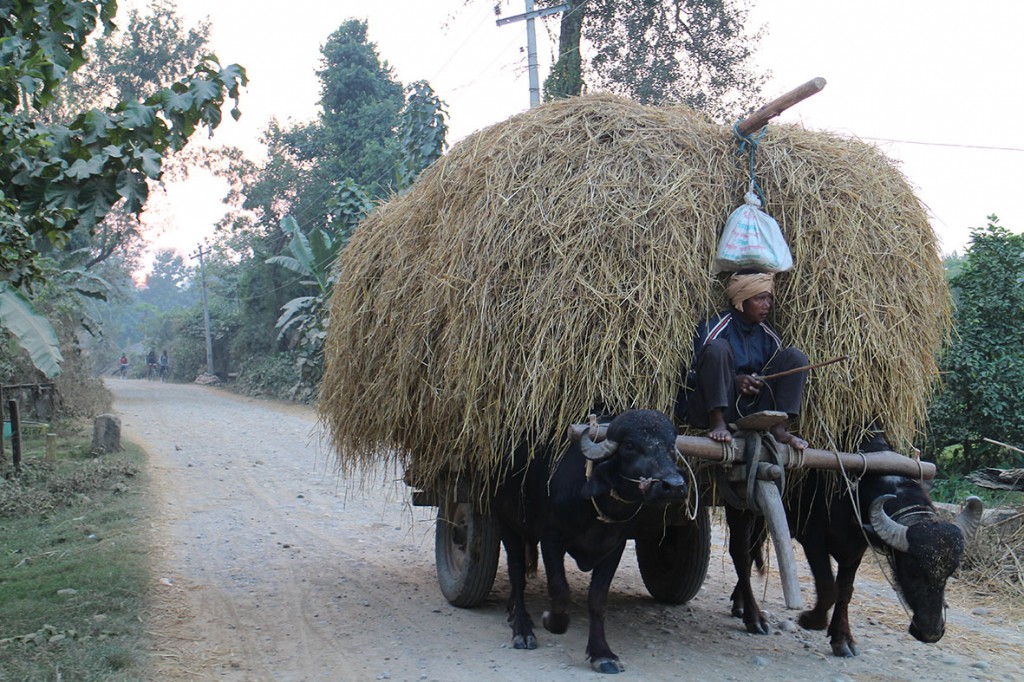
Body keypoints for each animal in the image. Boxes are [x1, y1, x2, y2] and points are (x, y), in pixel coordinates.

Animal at [489, 409, 688, 667]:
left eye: (671, 446)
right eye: (630, 445)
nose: (674, 486)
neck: (596, 509)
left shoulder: (614, 546)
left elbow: (597, 599)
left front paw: (601, 653)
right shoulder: (550, 537)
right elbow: (560, 590)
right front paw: (552, 622)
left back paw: (513, 611)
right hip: (505, 521)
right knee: (516, 573)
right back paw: (522, 628)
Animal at [729, 464, 983, 655]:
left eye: (950, 572)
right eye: (912, 570)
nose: (931, 633)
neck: (851, 487)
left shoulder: (856, 548)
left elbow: (845, 591)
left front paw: (842, 640)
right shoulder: (812, 537)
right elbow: (827, 588)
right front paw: (812, 619)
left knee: (750, 552)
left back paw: (739, 604)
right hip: (741, 506)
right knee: (741, 554)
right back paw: (754, 618)